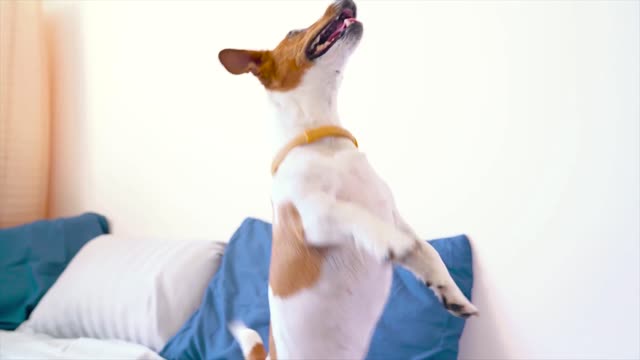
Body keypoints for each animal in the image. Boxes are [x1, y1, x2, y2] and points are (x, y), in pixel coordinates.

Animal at [219, 1, 476, 358]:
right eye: (292, 32)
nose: (345, 3)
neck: (324, 141)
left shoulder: (394, 216)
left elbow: (429, 253)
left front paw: (451, 292)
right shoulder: (312, 219)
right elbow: (354, 214)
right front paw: (389, 242)